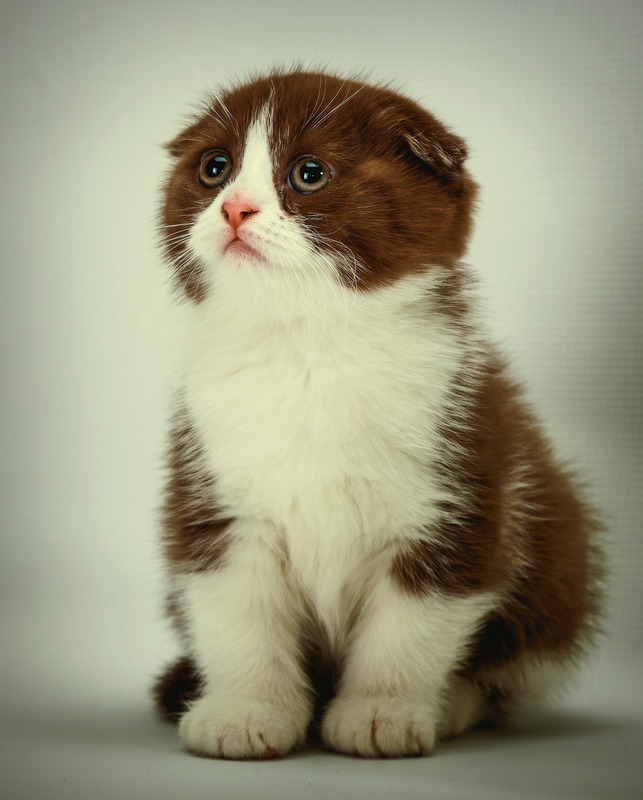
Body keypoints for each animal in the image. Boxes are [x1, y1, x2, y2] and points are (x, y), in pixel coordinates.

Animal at [152, 67, 604, 756]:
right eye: (215, 167)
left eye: (309, 173)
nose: (234, 208)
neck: (309, 347)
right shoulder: (213, 492)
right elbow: (238, 612)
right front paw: (247, 711)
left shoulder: (464, 485)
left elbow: (412, 624)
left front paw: (380, 713)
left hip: (559, 556)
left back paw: (456, 703)